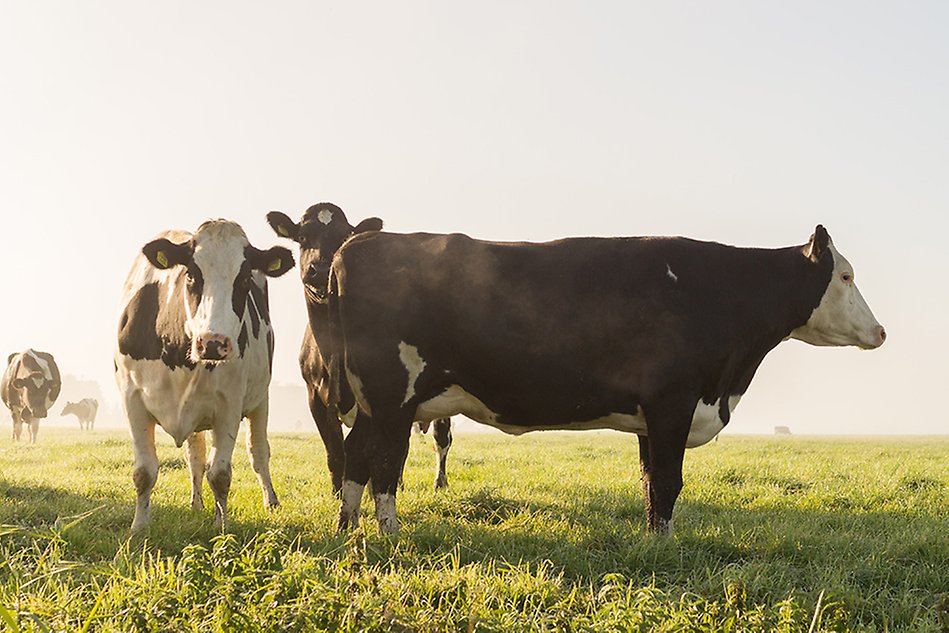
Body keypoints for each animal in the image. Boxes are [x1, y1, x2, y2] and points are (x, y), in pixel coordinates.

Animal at [115, 220, 292, 532]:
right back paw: (196, 504)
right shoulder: (132, 399)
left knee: (258, 452)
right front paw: (139, 527)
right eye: (191, 275)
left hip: (261, 400)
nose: (212, 342)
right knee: (195, 457)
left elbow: (220, 474)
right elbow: (144, 472)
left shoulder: (229, 406)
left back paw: (270, 502)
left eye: (243, 279)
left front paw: (222, 528)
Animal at [262, 202, 456, 494]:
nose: (321, 269)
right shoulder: (315, 397)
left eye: (343, 237)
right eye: (302, 237)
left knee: (440, 438)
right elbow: (335, 451)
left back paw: (438, 481)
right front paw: (338, 492)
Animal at [324, 225, 880, 536]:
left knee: (356, 455)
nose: (880, 331)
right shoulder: (673, 403)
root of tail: (357, 242)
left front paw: (656, 542)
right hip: (392, 397)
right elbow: (669, 482)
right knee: (384, 465)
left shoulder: (651, 416)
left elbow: (652, 482)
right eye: (846, 276)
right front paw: (665, 547)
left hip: (377, 403)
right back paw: (389, 536)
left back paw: (349, 530)